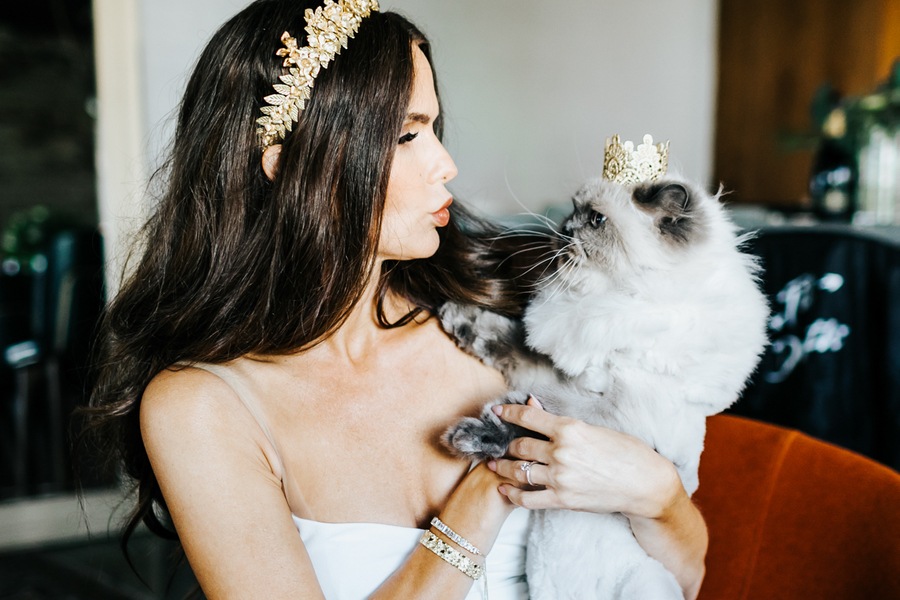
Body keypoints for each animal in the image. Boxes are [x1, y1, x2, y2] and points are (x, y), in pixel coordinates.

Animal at [438, 176, 768, 596]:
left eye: (595, 219)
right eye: (573, 209)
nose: (564, 228)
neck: (610, 301)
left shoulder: (611, 414)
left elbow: (534, 414)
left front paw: (472, 435)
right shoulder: (561, 372)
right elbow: (508, 342)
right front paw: (456, 316)